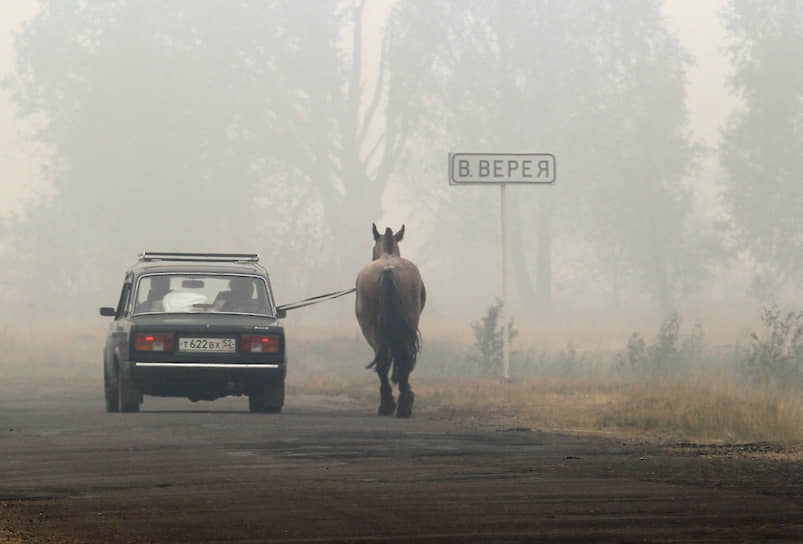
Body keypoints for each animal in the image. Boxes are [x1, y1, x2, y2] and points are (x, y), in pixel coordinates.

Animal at [356, 222, 428, 416]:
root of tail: (388, 269)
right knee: (401, 360)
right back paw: (401, 404)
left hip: (373, 330)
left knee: (384, 361)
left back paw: (390, 404)